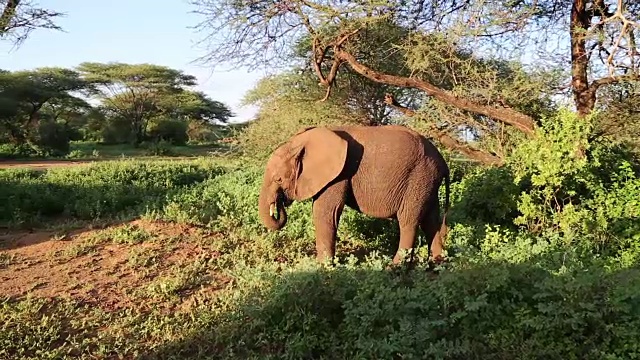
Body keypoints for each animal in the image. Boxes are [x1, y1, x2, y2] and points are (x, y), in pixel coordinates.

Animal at [258, 124, 452, 264]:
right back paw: (436, 265)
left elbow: (325, 211)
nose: (279, 205)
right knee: (430, 221)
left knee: (408, 220)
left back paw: (394, 268)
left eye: (278, 179)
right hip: (427, 181)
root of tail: (443, 162)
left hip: (418, 177)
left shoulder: (339, 174)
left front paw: (323, 267)